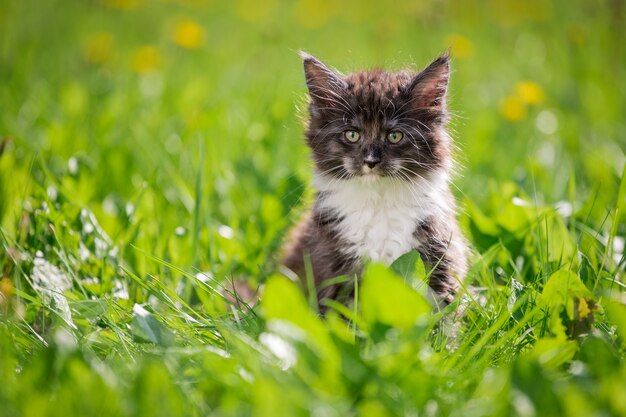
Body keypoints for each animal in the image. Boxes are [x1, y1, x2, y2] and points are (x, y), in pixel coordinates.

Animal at [280, 51, 466, 308]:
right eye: (352, 134)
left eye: (394, 136)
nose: (370, 160)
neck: (379, 200)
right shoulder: (333, 262)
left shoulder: (439, 249)